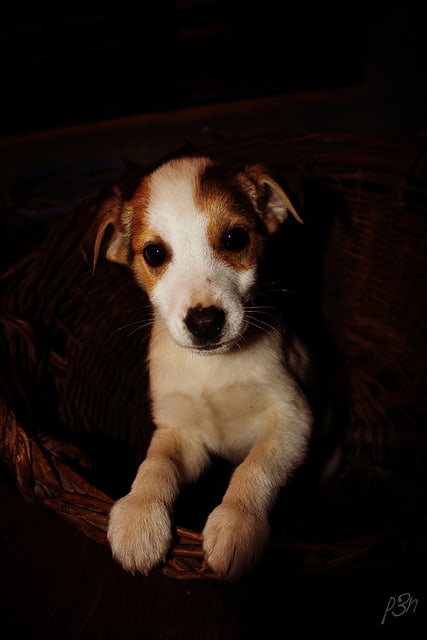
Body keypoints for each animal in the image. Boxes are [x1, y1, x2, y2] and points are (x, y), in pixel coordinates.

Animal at [93, 154, 314, 580]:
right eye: (155, 253)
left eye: (234, 239)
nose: (205, 323)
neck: (211, 372)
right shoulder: (181, 434)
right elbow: (155, 465)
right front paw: (139, 516)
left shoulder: (290, 419)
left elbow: (254, 469)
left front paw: (237, 524)